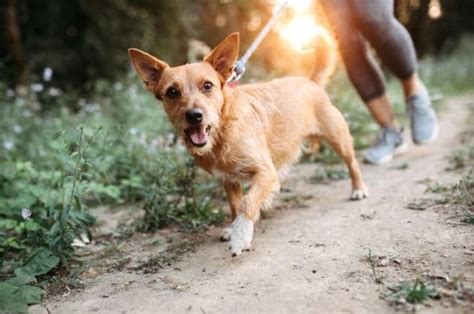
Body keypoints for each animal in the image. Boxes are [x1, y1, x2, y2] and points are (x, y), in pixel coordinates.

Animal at [128, 32, 368, 255]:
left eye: (207, 86)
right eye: (172, 92)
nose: (194, 116)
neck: (223, 130)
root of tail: (310, 82)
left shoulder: (264, 172)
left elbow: (247, 202)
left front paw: (241, 236)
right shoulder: (229, 180)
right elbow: (235, 205)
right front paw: (234, 228)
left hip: (338, 137)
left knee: (352, 162)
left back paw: (358, 189)